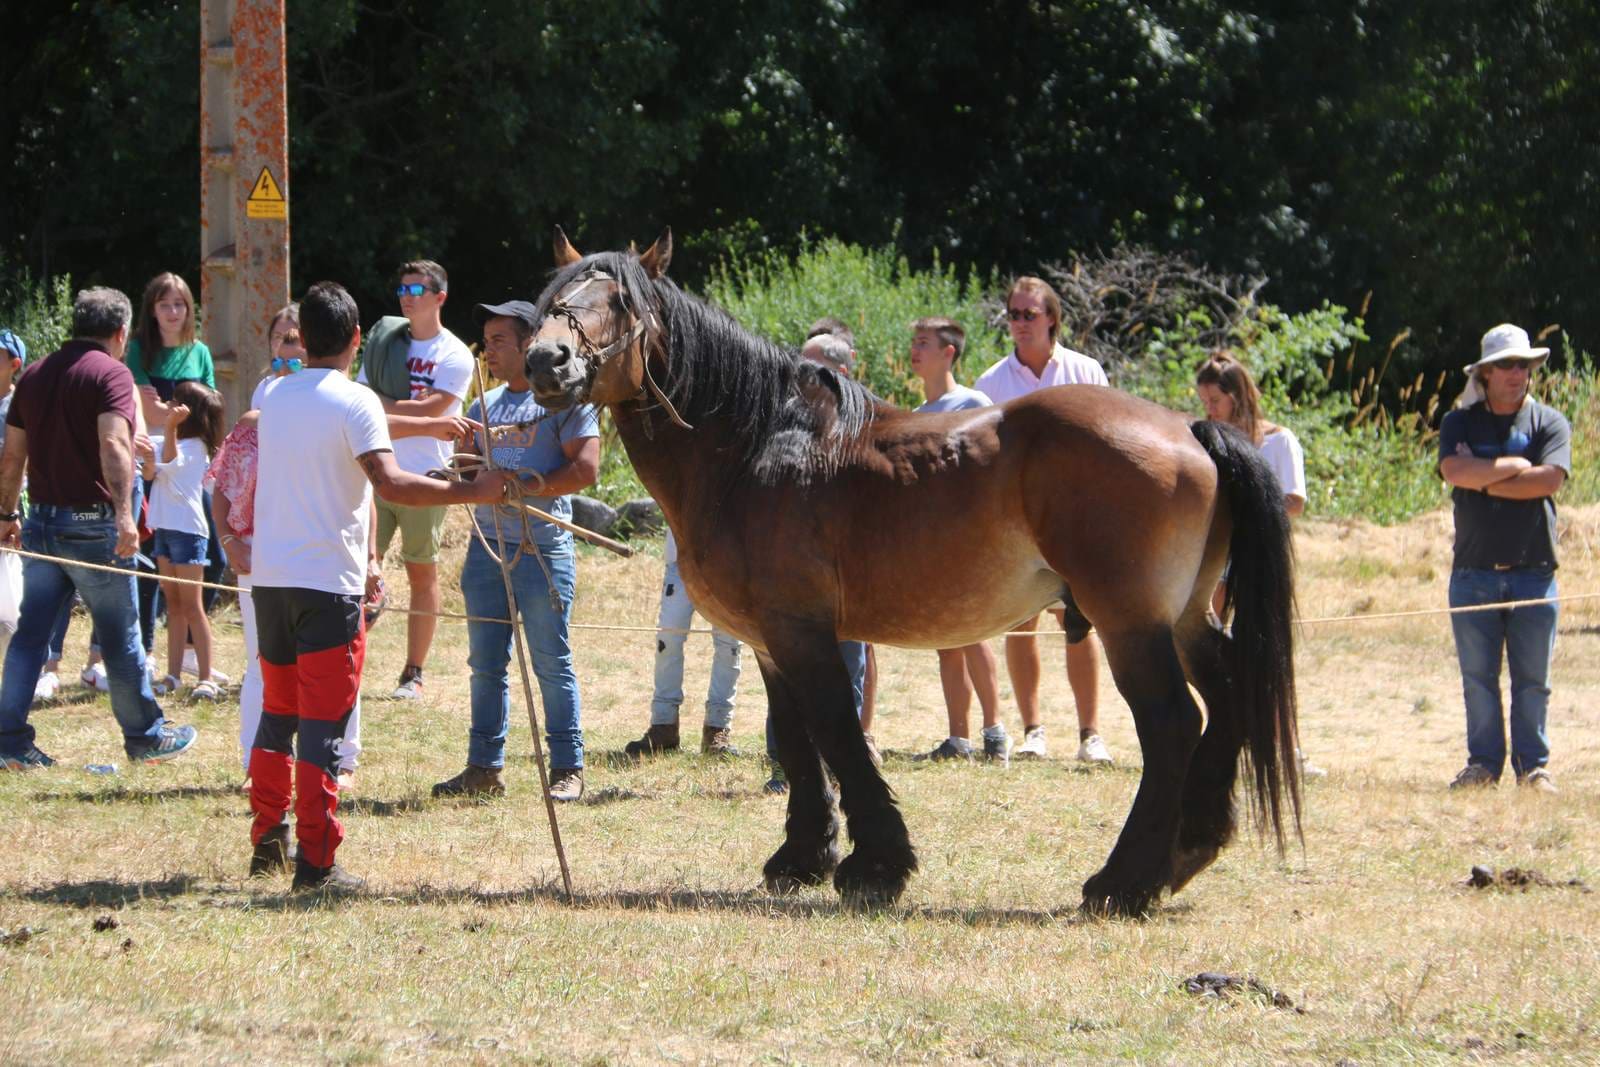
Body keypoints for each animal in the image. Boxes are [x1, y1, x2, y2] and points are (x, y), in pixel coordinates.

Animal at [524, 230, 1299, 915]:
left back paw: (1124, 882)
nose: (544, 360)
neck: (757, 446)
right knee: (1229, 696)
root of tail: (1188, 428)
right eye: (554, 297)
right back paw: (1189, 851)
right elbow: (795, 739)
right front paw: (802, 857)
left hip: (1128, 623)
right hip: (1186, 617)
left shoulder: (802, 631)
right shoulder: (770, 639)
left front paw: (876, 866)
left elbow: (836, 732)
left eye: (620, 301)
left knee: (1172, 723)